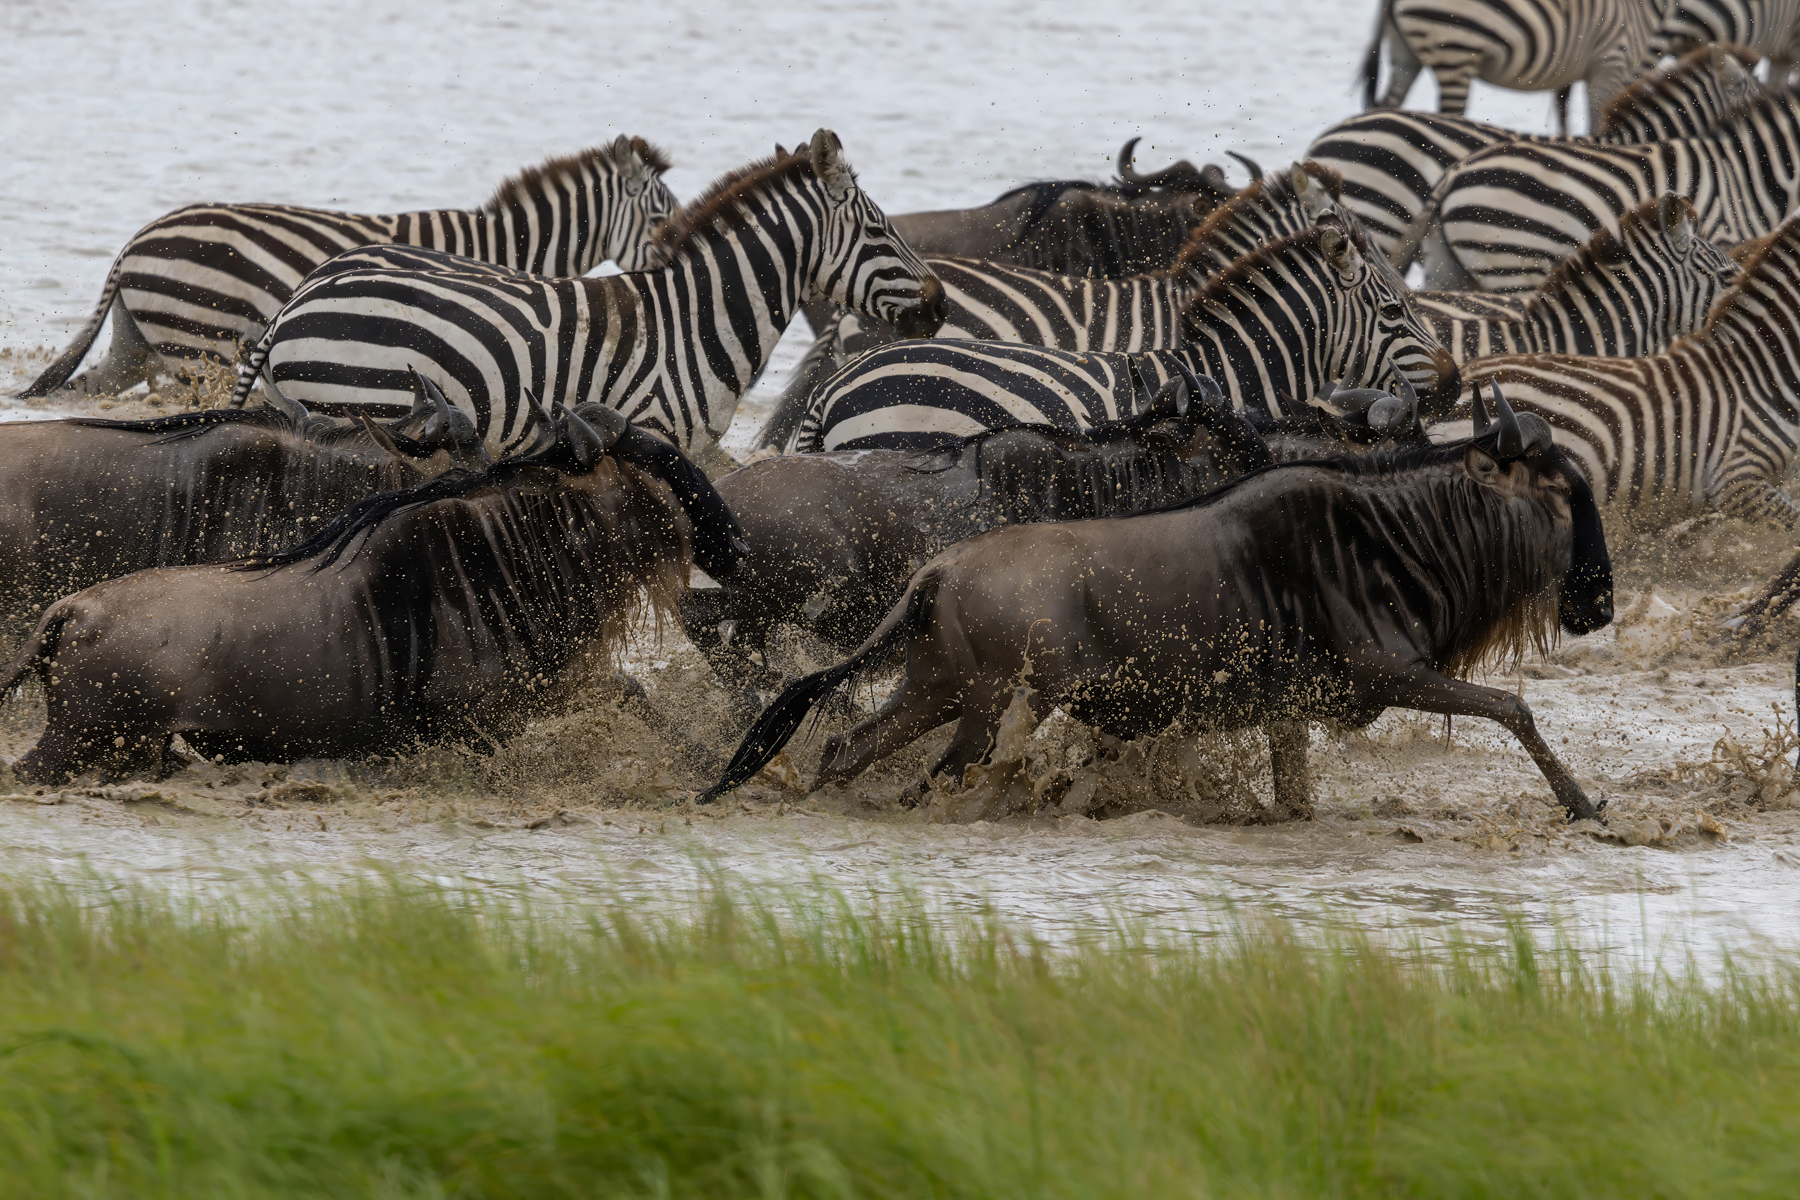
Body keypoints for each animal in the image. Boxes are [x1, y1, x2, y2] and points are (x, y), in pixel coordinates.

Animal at [1363, 0, 1665, 129]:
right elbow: (1597, 122)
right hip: (1456, 49)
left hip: (1406, 55)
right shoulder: (1611, 64)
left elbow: (1564, 113)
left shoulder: (1570, 72)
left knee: (1387, 104)